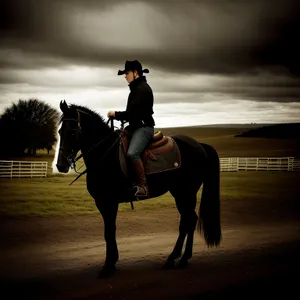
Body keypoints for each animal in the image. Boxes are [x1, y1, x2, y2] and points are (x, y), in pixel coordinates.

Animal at [56, 100, 221, 276]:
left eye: (72, 132)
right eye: (60, 131)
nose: (60, 165)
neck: (106, 155)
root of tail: (199, 145)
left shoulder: (108, 202)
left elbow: (109, 232)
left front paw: (107, 266)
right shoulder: (103, 203)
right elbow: (110, 231)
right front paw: (112, 262)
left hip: (185, 192)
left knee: (187, 222)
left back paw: (172, 259)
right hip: (182, 193)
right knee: (190, 219)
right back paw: (183, 258)